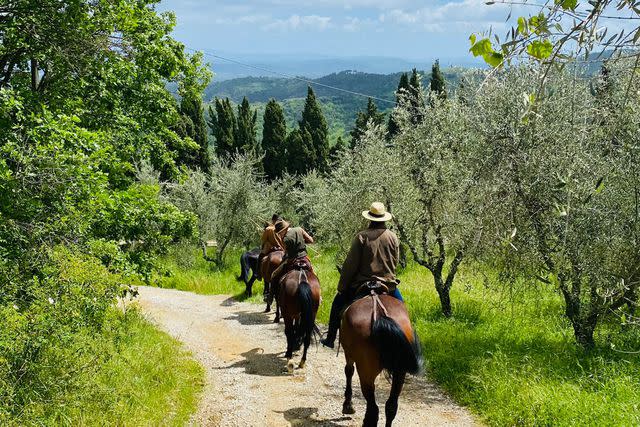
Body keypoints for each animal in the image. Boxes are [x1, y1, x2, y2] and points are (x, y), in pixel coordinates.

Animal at [340, 290, 424, 427]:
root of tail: (379, 315)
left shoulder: (349, 354)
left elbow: (348, 371)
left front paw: (348, 405)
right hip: (400, 371)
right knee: (391, 406)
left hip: (366, 372)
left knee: (373, 409)